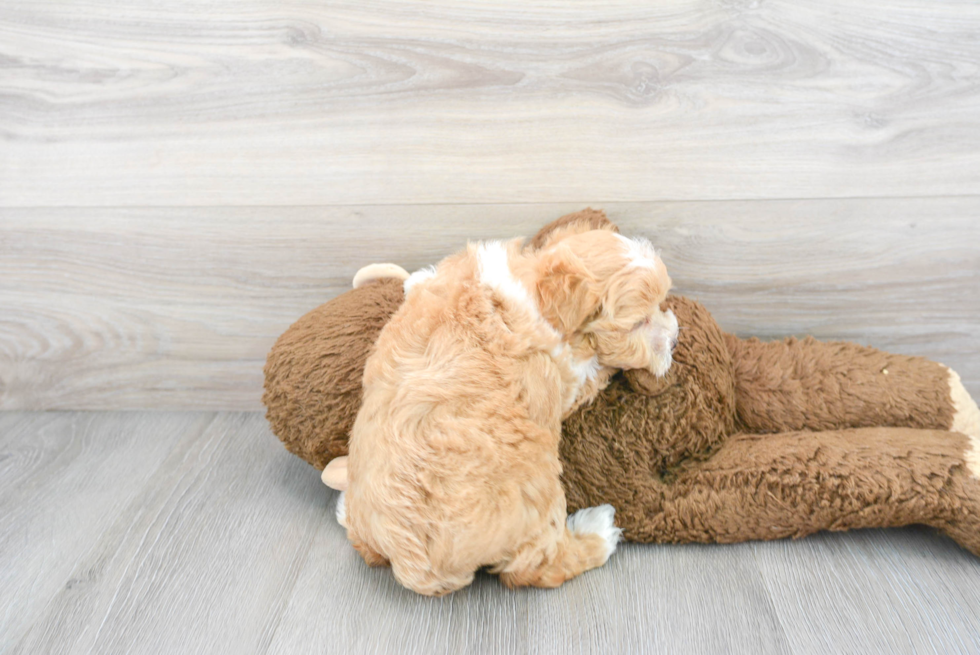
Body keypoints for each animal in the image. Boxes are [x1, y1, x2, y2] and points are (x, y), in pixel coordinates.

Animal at [340, 229, 676, 596]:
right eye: (638, 323)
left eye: (661, 303)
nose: (674, 339)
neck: (534, 285)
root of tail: (413, 565)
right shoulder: (565, 377)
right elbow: (590, 374)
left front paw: (416, 278)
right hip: (537, 497)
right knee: (538, 566)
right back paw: (599, 530)